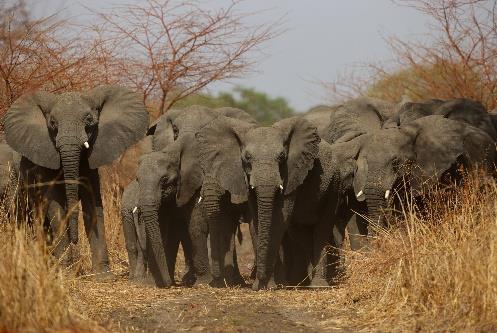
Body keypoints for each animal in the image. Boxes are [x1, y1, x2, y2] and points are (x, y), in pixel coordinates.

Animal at [4, 85, 147, 274]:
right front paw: (66, 271)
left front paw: (103, 275)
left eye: (89, 120)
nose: (75, 240)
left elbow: (92, 202)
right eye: (52, 123)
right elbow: (55, 206)